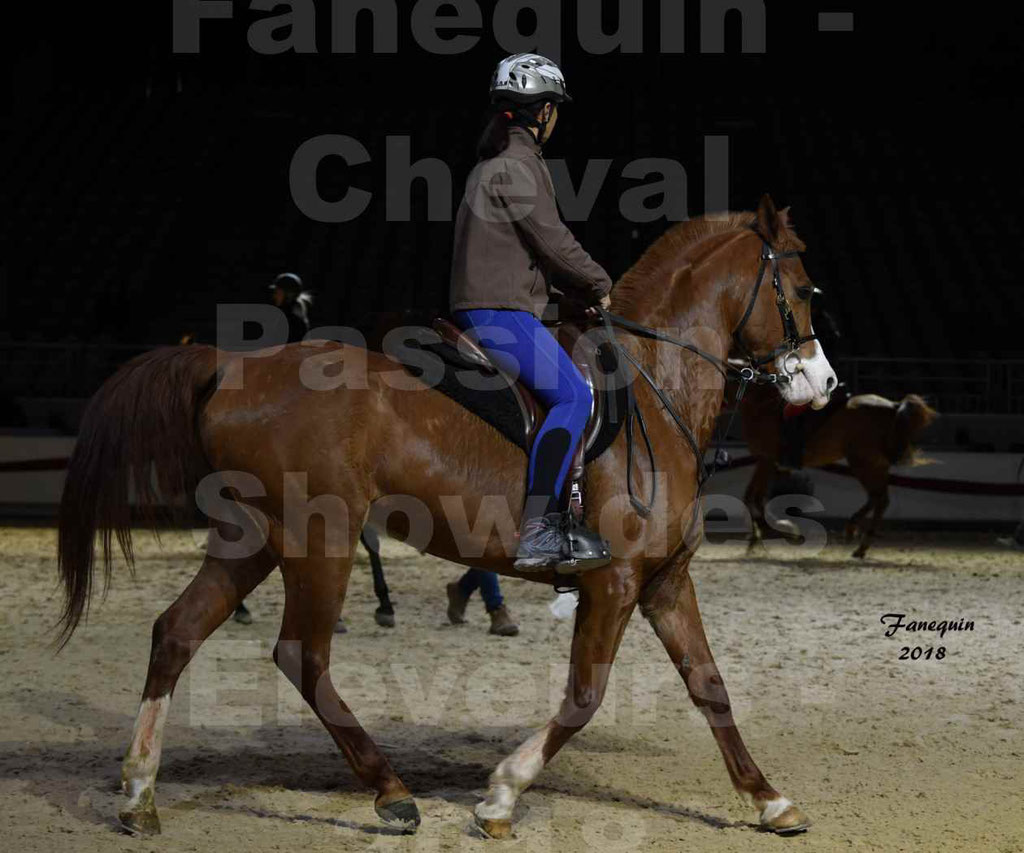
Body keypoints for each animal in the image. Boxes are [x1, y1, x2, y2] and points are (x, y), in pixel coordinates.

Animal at [58, 196, 839, 835]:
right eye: (802, 290)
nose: (824, 382)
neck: (655, 387)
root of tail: (230, 366)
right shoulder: (613, 582)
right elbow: (585, 695)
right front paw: (501, 795)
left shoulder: (665, 581)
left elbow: (710, 685)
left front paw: (770, 800)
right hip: (320, 539)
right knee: (302, 656)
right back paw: (391, 792)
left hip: (250, 539)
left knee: (177, 632)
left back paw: (139, 792)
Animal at [745, 385, 937, 557]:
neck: (761, 402)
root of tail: (893, 406)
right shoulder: (766, 462)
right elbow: (754, 497)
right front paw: (761, 536)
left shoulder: (766, 460)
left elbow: (754, 498)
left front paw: (777, 530)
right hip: (875, 464)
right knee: (880, 499)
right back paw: (860, 544)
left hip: (862, 462)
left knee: (878, 497)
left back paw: (854, 534)